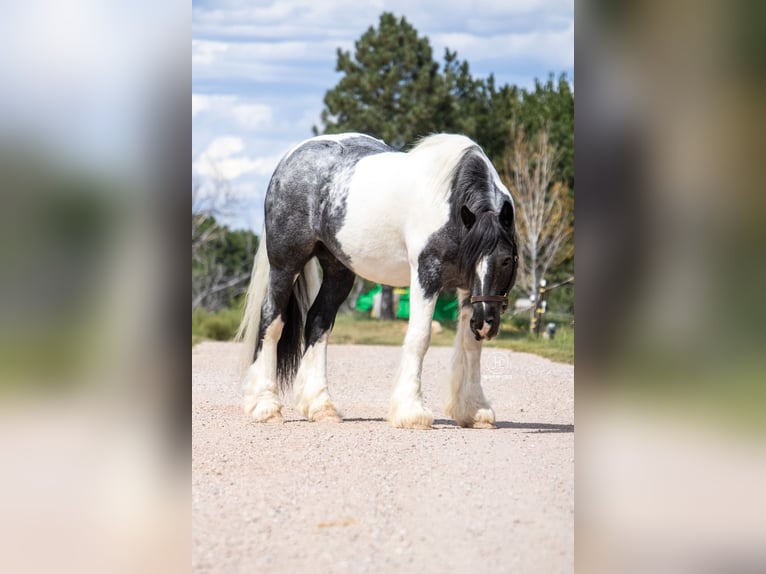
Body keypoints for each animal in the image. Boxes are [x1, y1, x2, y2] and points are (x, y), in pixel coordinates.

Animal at [237, 132, 518, 429]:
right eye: (473, 259)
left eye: (506, 260)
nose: (485, 323)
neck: (450, 205)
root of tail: (290, 157)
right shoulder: (426, 275)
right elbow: (420, 337)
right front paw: (412, 411)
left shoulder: (467, 289)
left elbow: (471, 344)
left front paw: (475, 411)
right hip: (285, 264)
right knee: (272, 319)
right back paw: (265, 406)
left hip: (338, 270)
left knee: (318, 322)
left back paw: (321, 407)